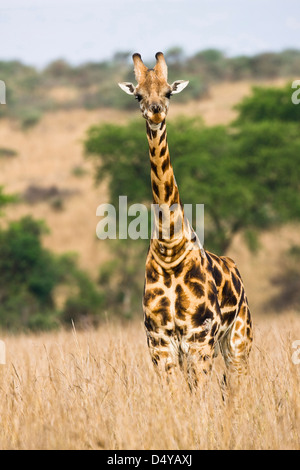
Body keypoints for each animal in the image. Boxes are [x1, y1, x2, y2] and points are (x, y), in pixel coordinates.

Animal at [118, 53, 252, 388]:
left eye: (168, 92)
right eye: (138, 95)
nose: (155, 111)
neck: (169, 248)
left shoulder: (198, 339)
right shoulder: (160, 343)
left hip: (238, 340)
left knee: (237, 386)